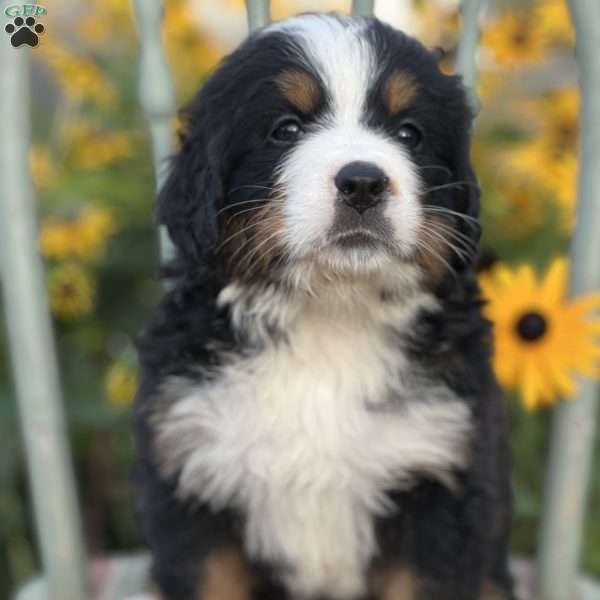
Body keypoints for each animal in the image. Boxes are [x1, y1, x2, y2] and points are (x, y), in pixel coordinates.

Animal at [134, 12, 512, 600]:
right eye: (285, 129)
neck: (330, 315)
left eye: (410, 133)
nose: (363, 182)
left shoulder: (440, 490)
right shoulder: (192, 481)